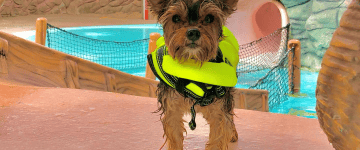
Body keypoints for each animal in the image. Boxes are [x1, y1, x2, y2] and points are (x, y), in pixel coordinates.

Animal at [146, 0, 239, 149]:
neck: (193, 66)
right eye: (176, 18)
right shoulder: (172, 108)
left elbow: (218, 135)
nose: (193, 32)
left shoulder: (219, 111)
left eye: (209, 18)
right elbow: (175, 138)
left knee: (230, 115)